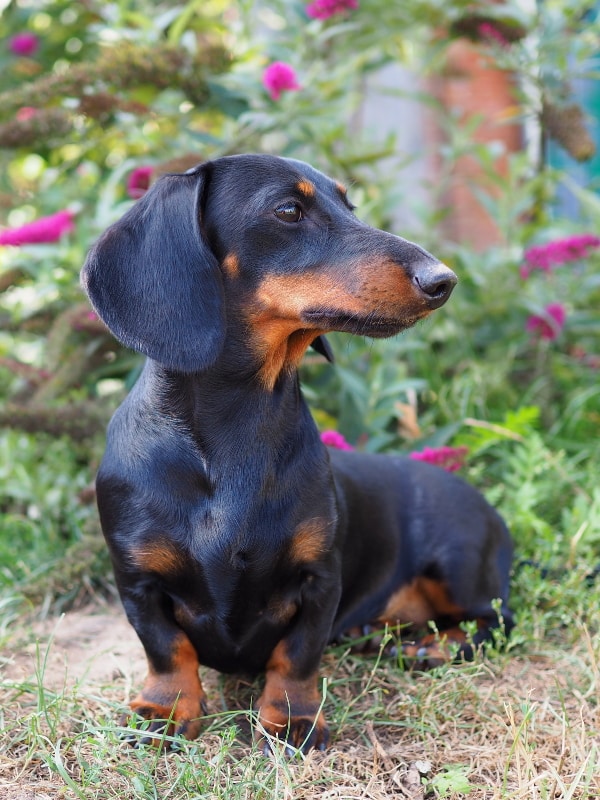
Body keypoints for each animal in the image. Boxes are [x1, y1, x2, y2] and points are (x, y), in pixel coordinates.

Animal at [79, 153, 512, 752]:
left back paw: (432, 646)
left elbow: (297, 655)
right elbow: (167, 649)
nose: (443, 279)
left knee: (491, 623)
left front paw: (293, 719)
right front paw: (164, 710)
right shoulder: (137, 580)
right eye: (289, 210)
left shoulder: (319, 579)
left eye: (349, 205)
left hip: (458, 566)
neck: (238, 430)